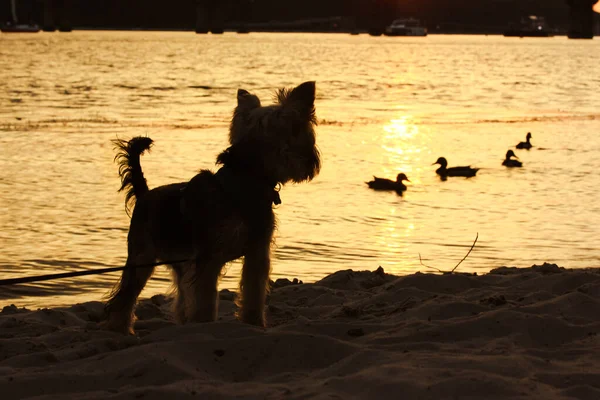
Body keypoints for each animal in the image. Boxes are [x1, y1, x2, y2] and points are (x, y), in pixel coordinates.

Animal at [101, 82, 322, 334]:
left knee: (182, 292)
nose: (313, 161)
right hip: (142, 255)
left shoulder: (257, 250)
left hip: (179, 259)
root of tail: (144, 193)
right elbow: (205, 297)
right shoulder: (210, 256)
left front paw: (254, 323)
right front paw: (205, 324)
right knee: (125, 295)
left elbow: (254, 291)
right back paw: (120, 328)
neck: (244, 179)